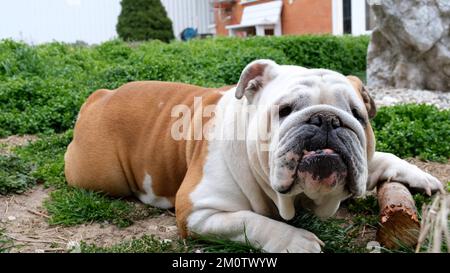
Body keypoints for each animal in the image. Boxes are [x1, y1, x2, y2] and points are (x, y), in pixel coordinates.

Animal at [64, 60, 442, 252]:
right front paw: (296, 241)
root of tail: (101, 95)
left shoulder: (362, 164)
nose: (326, 119)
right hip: (96, 175)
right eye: (285, 110)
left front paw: (420, 176)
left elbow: (383, 158)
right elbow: (251, 222)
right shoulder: (198, 211)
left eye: (357, 115)